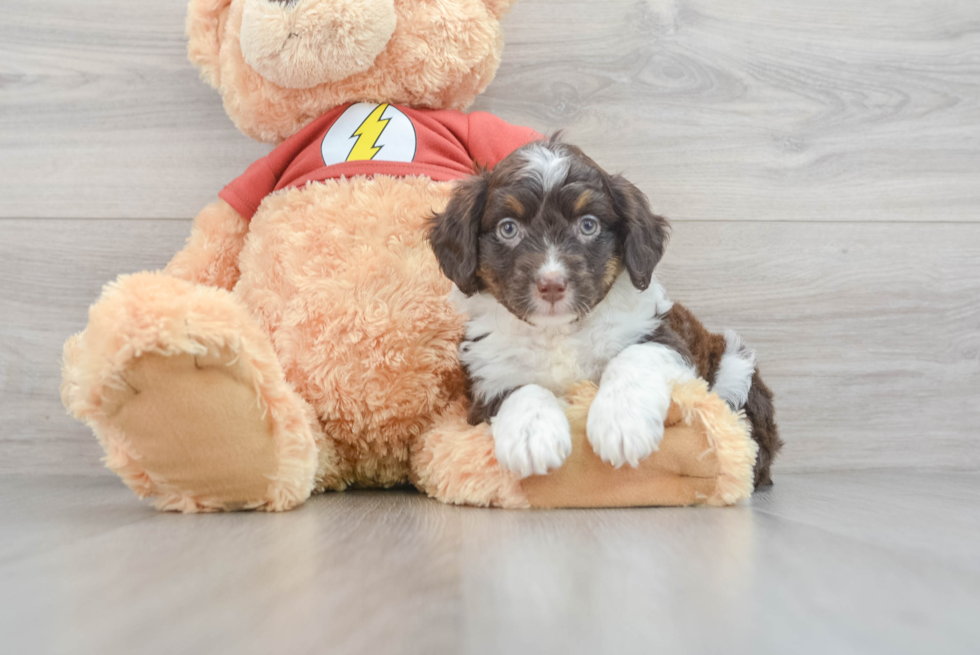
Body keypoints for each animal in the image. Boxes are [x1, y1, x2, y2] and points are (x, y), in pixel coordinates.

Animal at [428, 140, 780, 486]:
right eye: (508, 229)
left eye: (588, 225)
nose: (551, 284)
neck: (559, 332)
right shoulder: (486, 374)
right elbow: (520, 387)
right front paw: (532, 437)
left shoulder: (663, 337)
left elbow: (632, 357)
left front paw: (622, 423)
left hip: (735, 364)